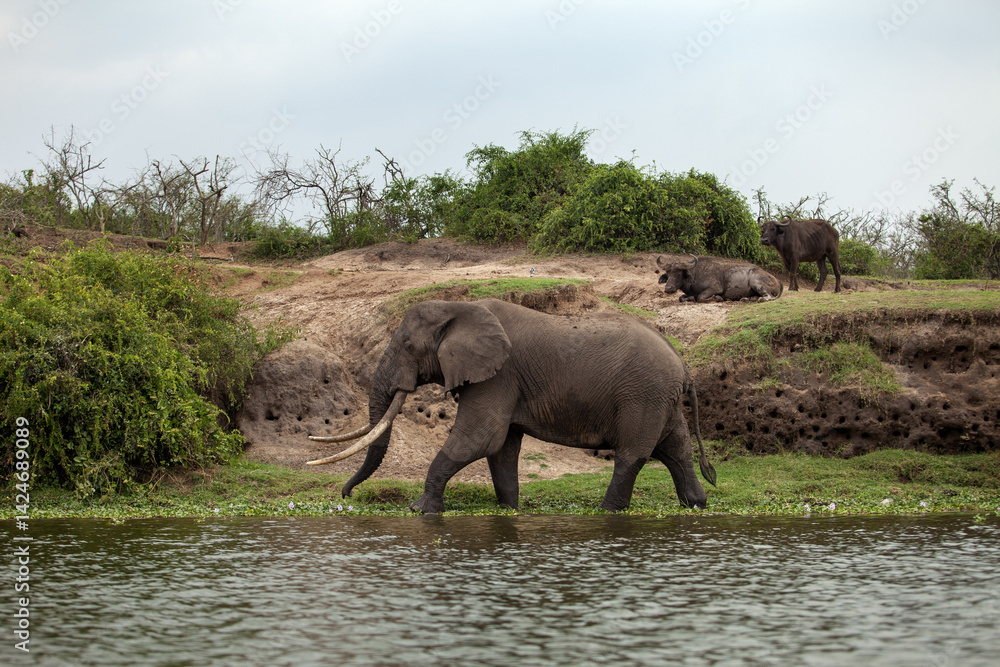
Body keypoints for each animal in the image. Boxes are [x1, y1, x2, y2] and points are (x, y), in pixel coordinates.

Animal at [306, 299, 716, 513]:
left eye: (408, 346)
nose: (347, 496)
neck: (458, 308)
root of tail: (682, 364)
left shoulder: (498, 376)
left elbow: (479, 439)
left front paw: (420, 510)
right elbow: (501, 450)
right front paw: (509, 511)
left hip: (642, 395)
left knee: (634, 454)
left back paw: (608, 511)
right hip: (660, 399)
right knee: (676, 448)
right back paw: (696, 504)